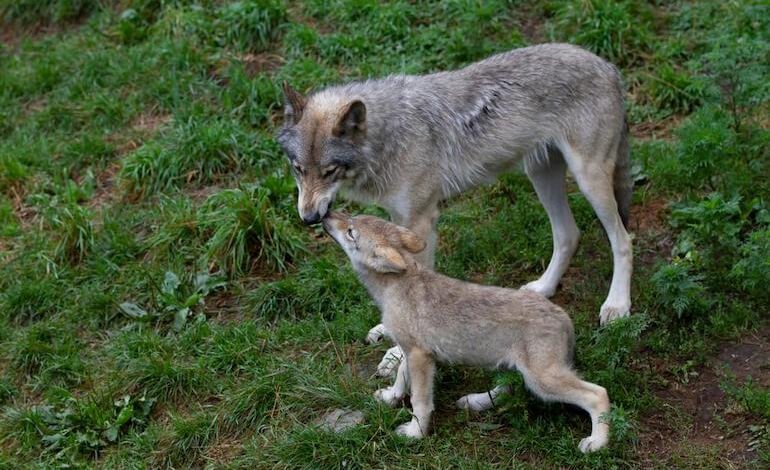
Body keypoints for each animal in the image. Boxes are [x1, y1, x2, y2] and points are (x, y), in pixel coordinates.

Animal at [276, 43, 633, 367]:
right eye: (298, 169)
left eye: (329, 171)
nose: (309, 218)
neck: (388, 138)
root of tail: (609, 66)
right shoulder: (399, 218)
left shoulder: (421, 221)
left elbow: (413, 285)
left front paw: (397, 354)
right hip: (540, 175)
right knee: (569, 234)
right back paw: (543, 288)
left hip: (588, 179)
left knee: (623, 240)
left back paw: (617, 305)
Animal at [323, 212, 611, 452]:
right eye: (351, 218)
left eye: (351, 232)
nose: (325, 215)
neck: (395, 287)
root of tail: (563, 316)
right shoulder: (410, 351)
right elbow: (401, 381)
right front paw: (390, 398)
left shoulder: (420, 357)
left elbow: (420, 401)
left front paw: (415, 433)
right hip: (514, 367)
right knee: (508, 389)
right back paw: (474, 402)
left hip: (542, 380)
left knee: (598, 394)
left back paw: (597, 442)